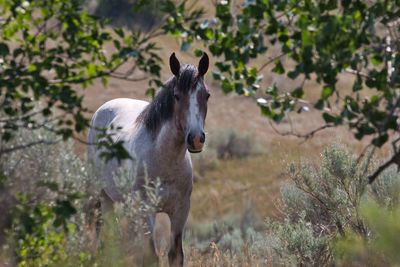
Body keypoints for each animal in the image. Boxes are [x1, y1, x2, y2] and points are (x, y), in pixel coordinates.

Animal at [87, 51, 209, 266]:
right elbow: (151, 257)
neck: (164, 162)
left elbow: (175, 255)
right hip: (103, 195)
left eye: (207, 95)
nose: (196, 139)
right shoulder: (147, 211)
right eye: (177, 96)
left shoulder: (180, 212)